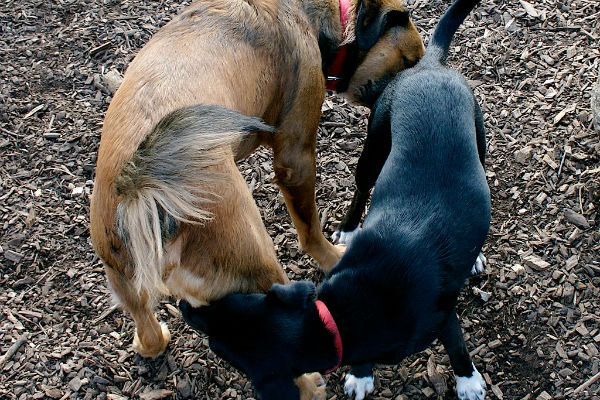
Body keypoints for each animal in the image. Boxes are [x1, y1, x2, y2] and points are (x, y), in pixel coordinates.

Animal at [91, 0, 424, 370]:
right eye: (409, 60)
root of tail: (139, 183)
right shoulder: (296, 158)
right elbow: (310, 228)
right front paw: (330, 256)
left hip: (125, 282)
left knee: (147, 330)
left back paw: (152, 341)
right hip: (259, 264)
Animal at [180, 0, 490, 398]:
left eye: (216, 341)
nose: (185, 307)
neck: (340, 318)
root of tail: (430, 67)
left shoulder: (442, 314)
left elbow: (456, 344)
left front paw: (468, 380)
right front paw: (361, 375)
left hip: (469, 145)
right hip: (374, 150)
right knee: (361, 189)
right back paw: (348, 227)